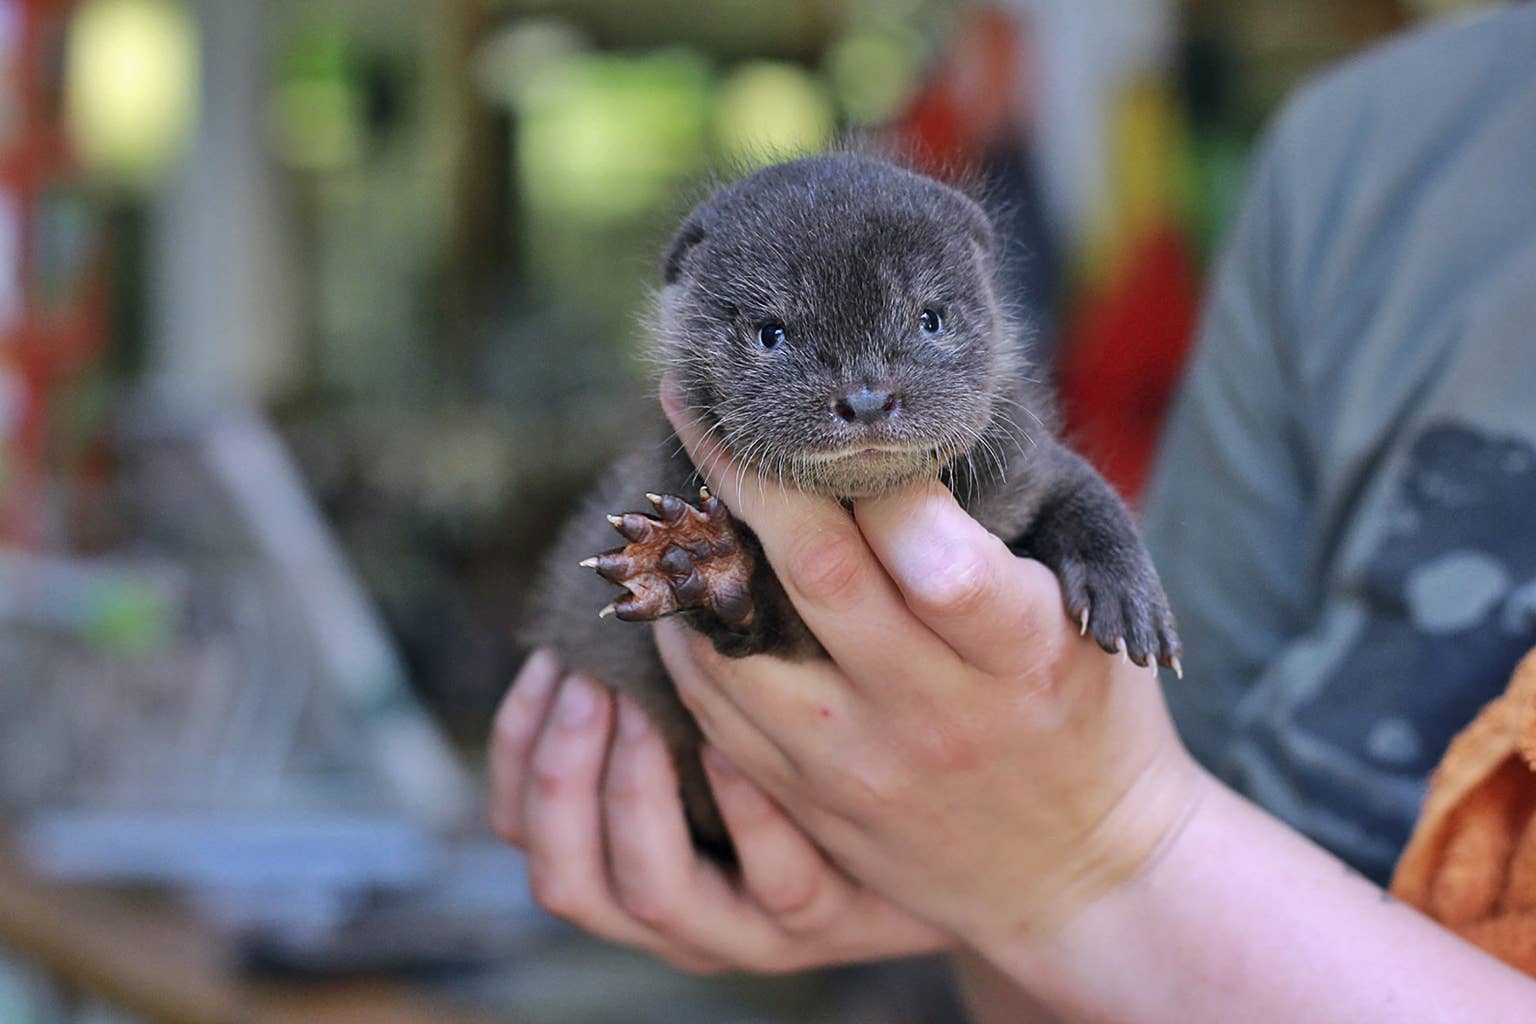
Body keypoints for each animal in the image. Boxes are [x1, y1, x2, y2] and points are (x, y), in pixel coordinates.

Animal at [523, 153, 1180, 856]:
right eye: (771, 333)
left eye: (930, 318)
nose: (866, 398)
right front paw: (707, 562)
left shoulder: (1029, 463)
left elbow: (1085, 491)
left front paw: (1128, 592)